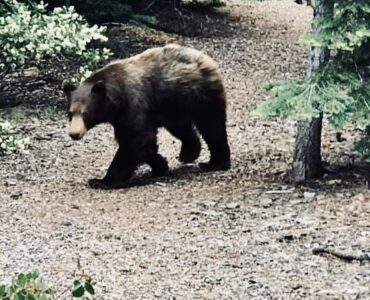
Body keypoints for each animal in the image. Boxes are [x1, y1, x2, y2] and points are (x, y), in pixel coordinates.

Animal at [63, 43, 230, 189]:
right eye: (70, 113)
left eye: (86, 114)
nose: (74, 134)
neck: (118, 97)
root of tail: (205, 58)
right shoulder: (121, 117)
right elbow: (144, 143)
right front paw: (160, 166)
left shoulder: (133, 106)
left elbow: (134, 140)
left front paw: (102, 181)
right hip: (174, 105)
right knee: (182, 128)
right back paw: (189, 153)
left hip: (202, 96)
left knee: (212, 126)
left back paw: (215, 163)